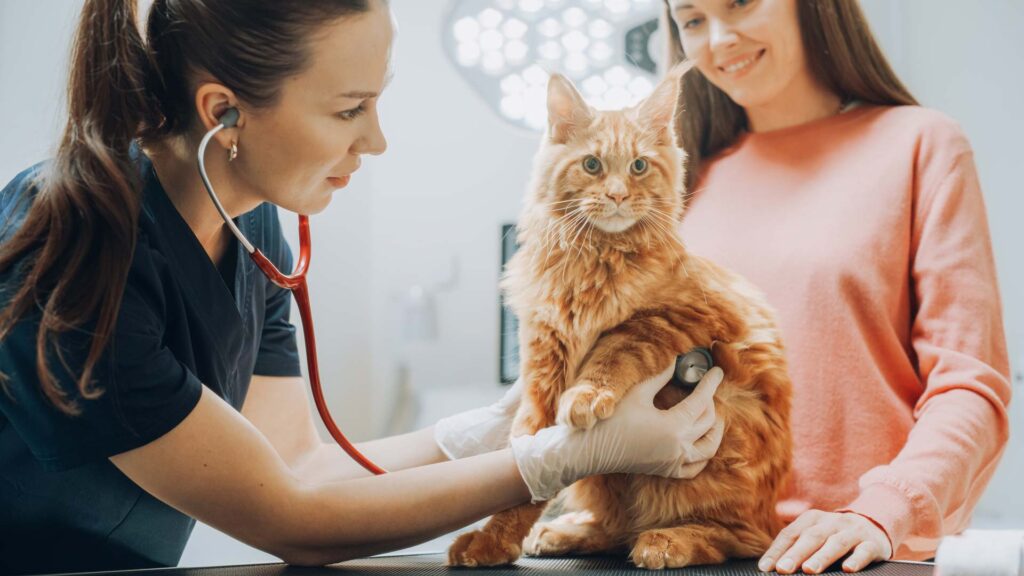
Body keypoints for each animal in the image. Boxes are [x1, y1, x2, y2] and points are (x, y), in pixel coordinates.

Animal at [446, 65, 790, 565]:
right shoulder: (542, 365)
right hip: (606, 480)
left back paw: (669, 540)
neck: (595, 260)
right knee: (615, 526)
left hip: (719, 446)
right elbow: (524, 471)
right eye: (592, 165)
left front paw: (588, 393)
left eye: (639, 166)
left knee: (738, 538)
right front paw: (493, 539)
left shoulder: (677, 315)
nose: (617, 195)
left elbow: (616, 346)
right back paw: (565, 532)